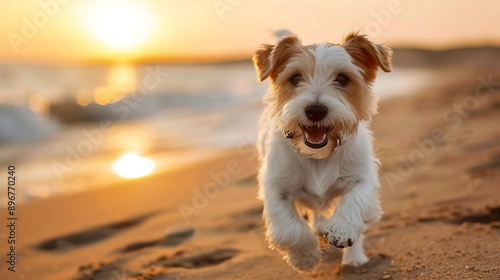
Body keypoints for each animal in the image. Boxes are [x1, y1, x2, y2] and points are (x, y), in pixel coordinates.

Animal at [254, 32, 390, 272]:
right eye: (295, 78)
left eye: (342, 79)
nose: (316, 110)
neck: (318, 156)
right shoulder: (274, 187)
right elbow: (289, 228)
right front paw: (304, 258)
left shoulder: (363, 178)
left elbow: (355, 200)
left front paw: (342, 229)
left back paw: (354, 258)